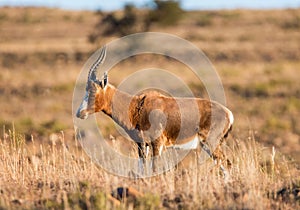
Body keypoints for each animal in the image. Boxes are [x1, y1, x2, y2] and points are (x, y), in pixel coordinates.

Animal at [75, 46, 234, 177]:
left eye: (92, 91)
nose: (79, 113)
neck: (137, 106)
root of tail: (228, 113)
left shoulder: (157, 144)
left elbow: (154, 169)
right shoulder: (142, 145)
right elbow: (142, 169)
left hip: (210, 143)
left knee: (226, 164)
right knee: (225, 165)